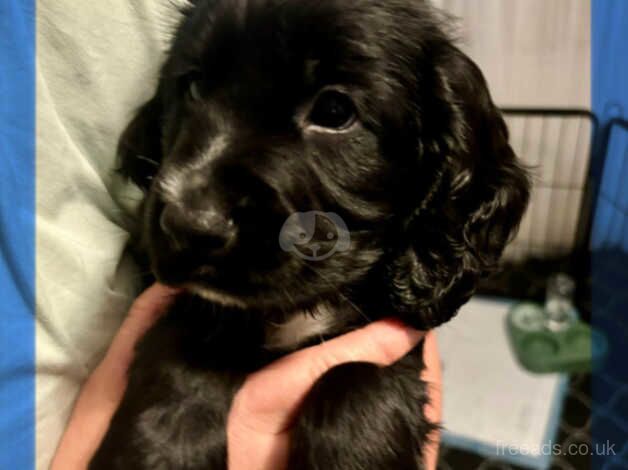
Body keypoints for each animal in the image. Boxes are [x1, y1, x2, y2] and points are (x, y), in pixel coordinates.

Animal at [89, 1, 528, 468]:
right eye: (192, 86)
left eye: (334, 111)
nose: (189, 224)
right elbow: (183, 346)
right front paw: (160, 450)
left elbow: (356, 376)